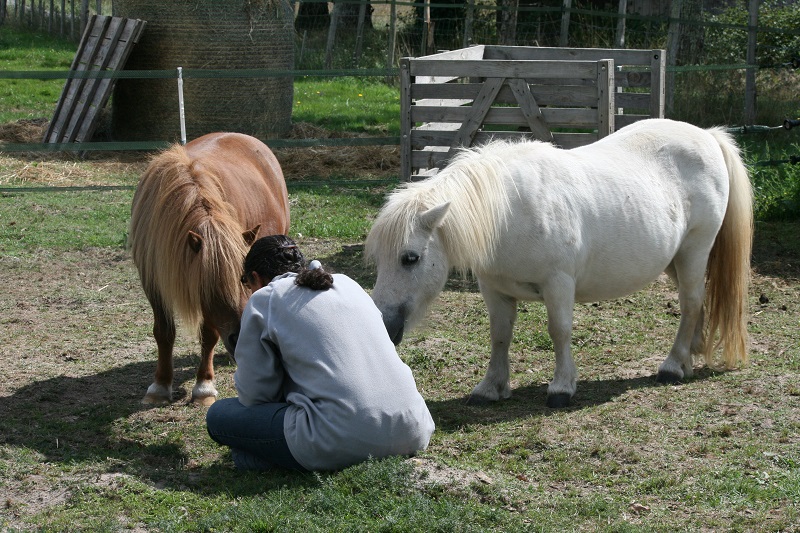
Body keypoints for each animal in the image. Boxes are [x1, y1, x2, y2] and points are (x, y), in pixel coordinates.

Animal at [130, 132, 292, 404]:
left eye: (245, 280)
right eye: (206, 286)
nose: (240, 339)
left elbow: (209, 335)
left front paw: (203, 386)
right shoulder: (152, 281)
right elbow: (163, 332)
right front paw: (159, 386)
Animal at [366, 118, 752, 406]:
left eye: (410, 258)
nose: (384, 326)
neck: (510, 211)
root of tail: (707, 135)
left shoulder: (558, 284)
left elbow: (560, 330)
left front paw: (562, 387)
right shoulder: (495, 290)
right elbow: (499, 335)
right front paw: (491, 388)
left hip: (694, 250)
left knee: (690, 302)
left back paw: (672, 365)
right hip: (673, 260)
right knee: (696, 303)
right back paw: (689, 358)